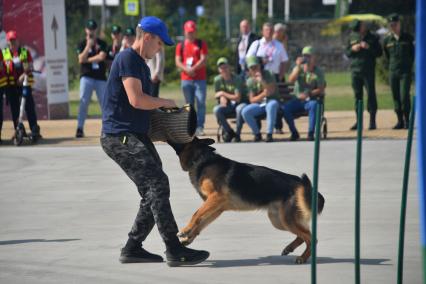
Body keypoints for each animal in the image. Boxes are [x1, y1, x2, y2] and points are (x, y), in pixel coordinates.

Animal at [168, 138, 324, 264]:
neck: (201, 159)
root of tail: (302, 184)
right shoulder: (216, 208)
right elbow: (201, 221)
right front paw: (189, 237)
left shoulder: (216, 198)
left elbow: (196, 214)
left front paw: (185, 231)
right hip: (278, 220)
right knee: (303, 235)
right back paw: (290, 248)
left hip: (285, 220)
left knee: (311, 238)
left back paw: (303, 258)